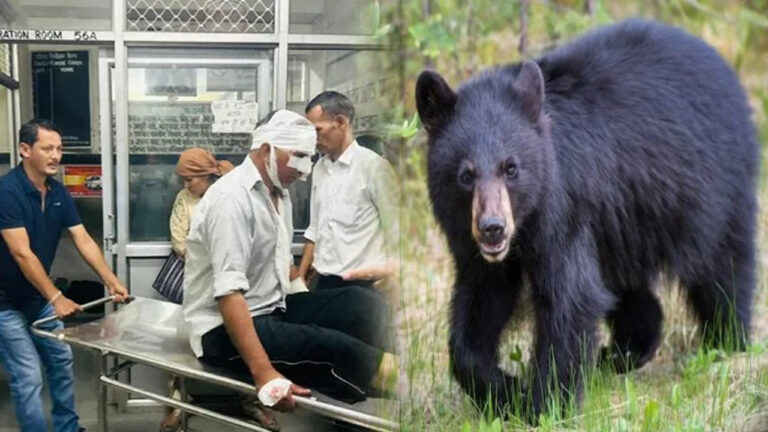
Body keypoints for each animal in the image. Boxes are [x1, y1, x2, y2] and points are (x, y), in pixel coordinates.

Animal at [415, 19, 759, 420]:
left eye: (511, 168)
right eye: (465, 175)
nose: (492, 228)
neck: (525, 224)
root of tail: (722, 66)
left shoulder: (564, 213)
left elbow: (570, 299)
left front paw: (545, 404)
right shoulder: (473, 246)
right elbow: (481, 303)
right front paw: (504, 391)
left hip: (712, 190)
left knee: (723, 266)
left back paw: (726, 341)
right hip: (625, 224)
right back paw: (624, 352)